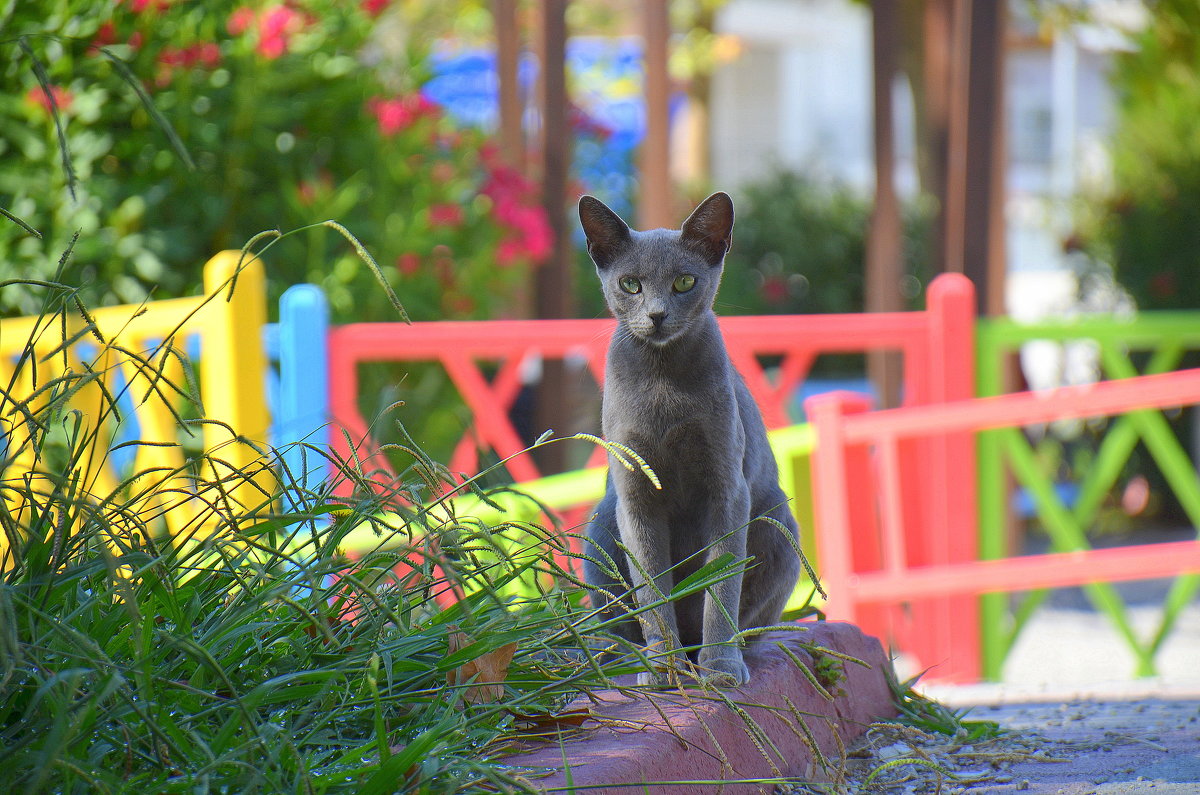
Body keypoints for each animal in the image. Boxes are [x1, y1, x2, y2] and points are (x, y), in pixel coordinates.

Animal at [578, 194, 801, 691]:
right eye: (630, 284)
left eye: (684, 282)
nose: (657, 314)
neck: (664, 386)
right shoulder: (635, 495)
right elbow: (652, 588)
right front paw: (664, 669)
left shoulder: (727, 490)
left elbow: (720, 584)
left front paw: (719, 669)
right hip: (600, 526)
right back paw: (627, 659)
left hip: (779, 526)